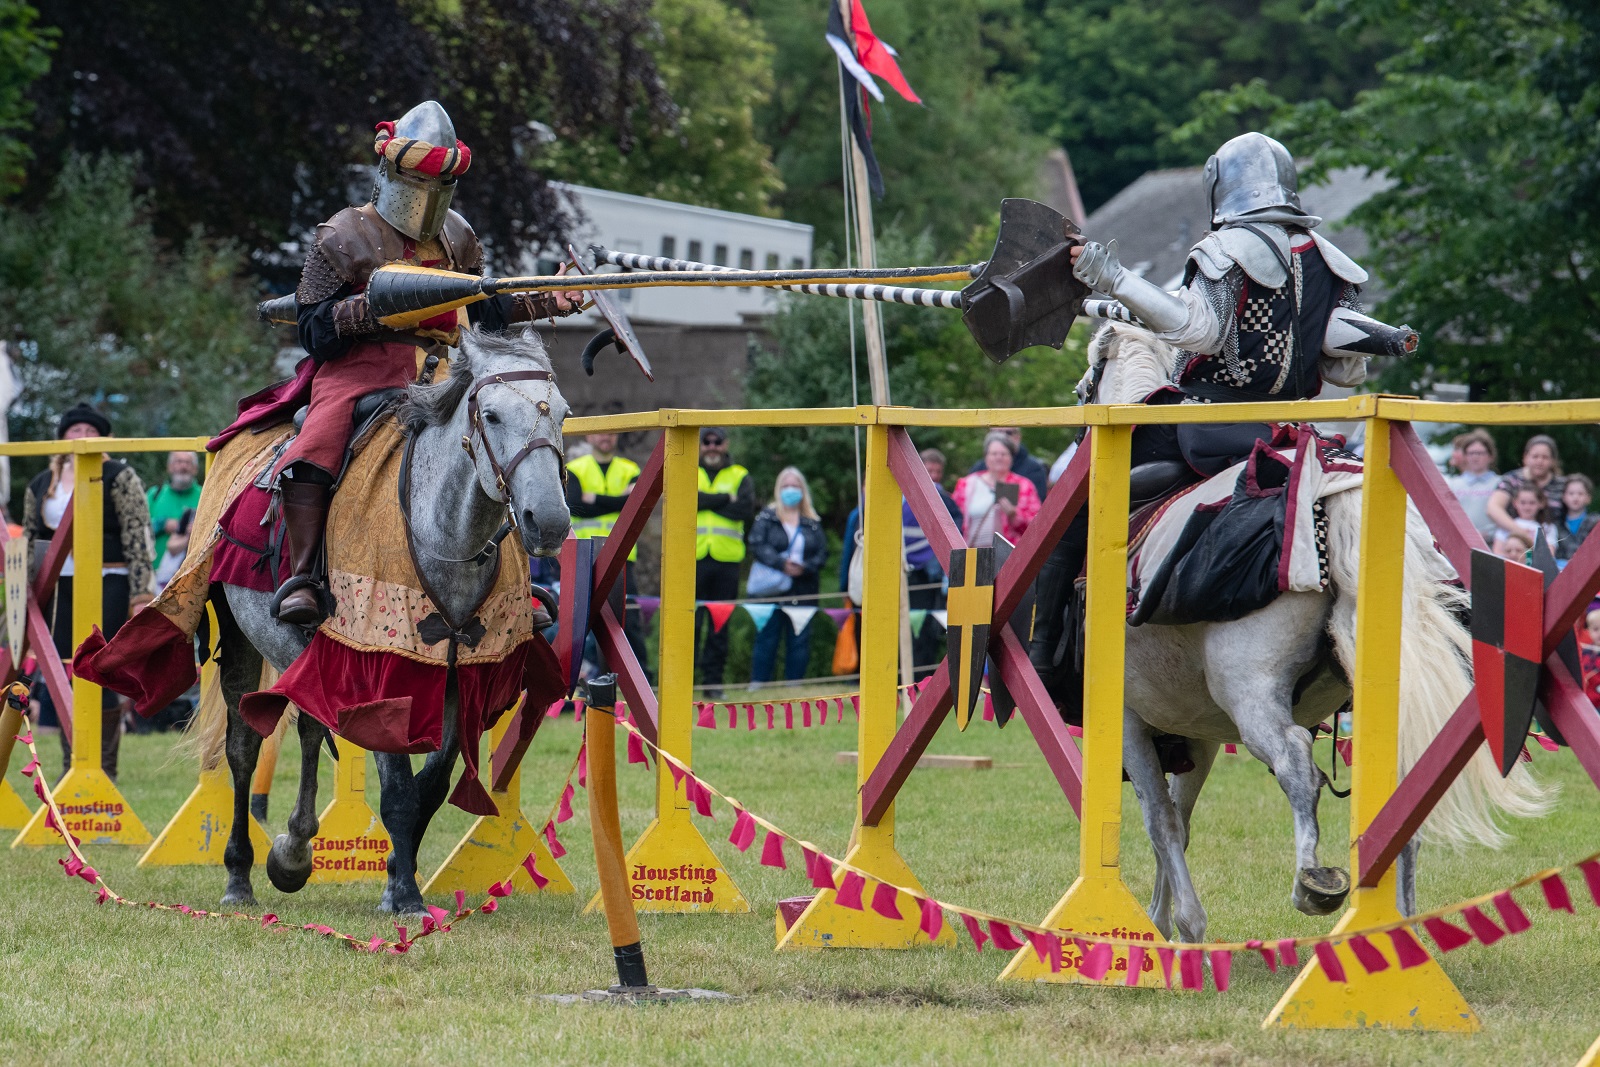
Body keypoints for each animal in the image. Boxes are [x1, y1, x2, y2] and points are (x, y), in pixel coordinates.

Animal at [209, 327, 566, 921]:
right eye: (490, 415)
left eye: (561, 412)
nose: (551, 520)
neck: (442, 535)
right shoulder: (381, 675)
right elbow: (397, 789)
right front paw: (407, 899)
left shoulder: (461, 676)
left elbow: (430, 787)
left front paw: (399, 877)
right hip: (239, 637)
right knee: (243, 748)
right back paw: (239, 875)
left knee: (310, 727)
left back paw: (294, 851)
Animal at [1075, 326, 1548, 940]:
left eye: (1088, 377)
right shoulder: (1196, 732)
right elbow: (1179, 819)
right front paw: (1164, 923)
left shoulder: (1133, 722)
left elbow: (1162, 822)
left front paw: (1176, 925)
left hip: (1251, 694)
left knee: (1296, 761)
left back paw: (1313, 883)